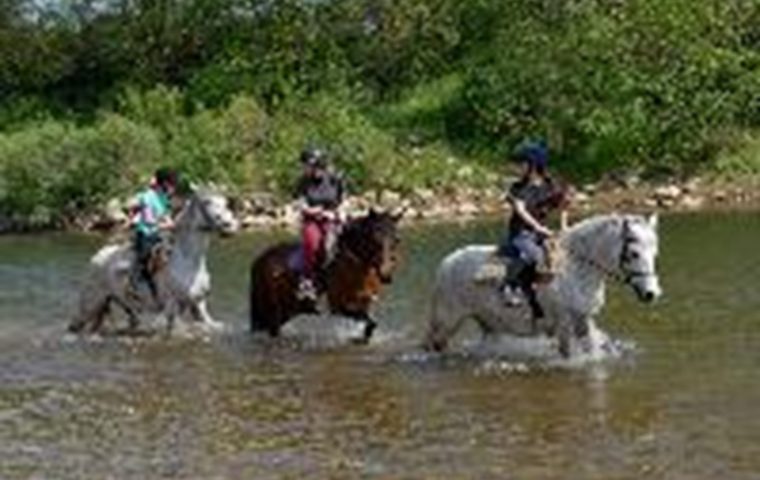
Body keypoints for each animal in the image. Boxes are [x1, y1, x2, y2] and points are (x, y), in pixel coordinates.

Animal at [71, 186, 239, 336]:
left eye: (225, 202)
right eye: (206, 202)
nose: (229, 225)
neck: (188, 260)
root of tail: (96, 257)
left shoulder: (199, 305)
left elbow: (212, 325)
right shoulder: (172, 306)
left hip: (121, 304)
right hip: (90, 304)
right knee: (75, 325)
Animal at [249, 209, 404, 342]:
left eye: (397, 239)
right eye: (374, 238)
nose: (386, 273)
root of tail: (261, 259)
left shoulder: (365, 301)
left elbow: (371, 323)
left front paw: (362, 338)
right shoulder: (338, 307)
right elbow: (365, 319)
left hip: (288, 309)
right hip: (273, 310)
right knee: (272, 330)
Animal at [424, 214, 664, 356]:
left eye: (654, 253)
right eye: (634, 253)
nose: (650, 293)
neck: (576, 268)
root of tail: (446, 263)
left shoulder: (583, 319)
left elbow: (592, 347)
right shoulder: (564, 324)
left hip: (488, 324)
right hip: (446, 322)